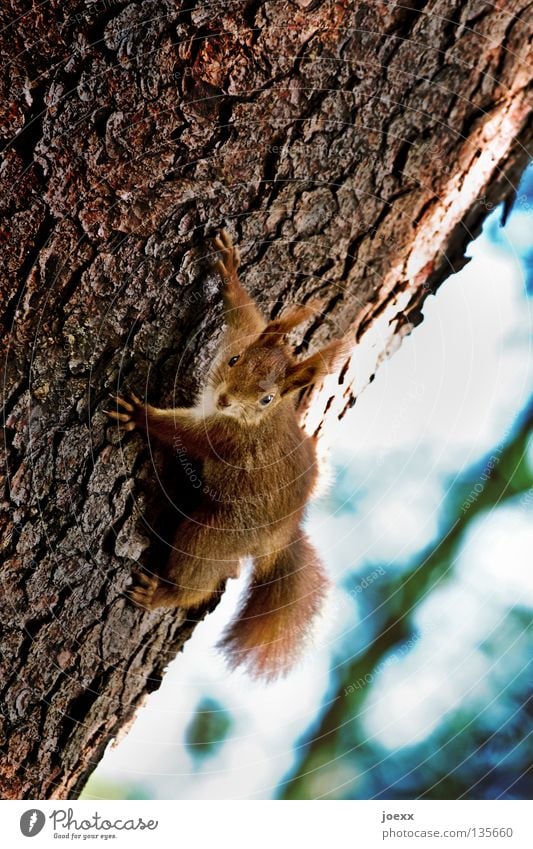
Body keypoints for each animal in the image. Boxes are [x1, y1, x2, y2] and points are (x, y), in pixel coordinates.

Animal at [106, 229, 348, 680]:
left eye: (267, 398)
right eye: (235, 359)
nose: (223, 399)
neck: (251, 418)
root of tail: (281, 535)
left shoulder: (222, 439)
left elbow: (182, 435)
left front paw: (140, 415)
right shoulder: (243, 334)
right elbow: (245, 316)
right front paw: (231, 274)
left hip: (214, 532)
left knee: (200, 575)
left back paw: (164, 595)